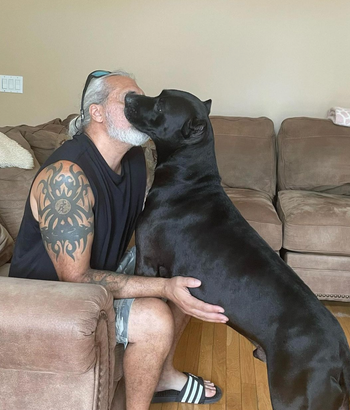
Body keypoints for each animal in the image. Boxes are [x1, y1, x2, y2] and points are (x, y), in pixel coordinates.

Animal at [125, 90, 350, 410]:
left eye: (160, 104)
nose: (129, 95)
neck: (189, 179)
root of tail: (341, 354)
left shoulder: (146, 262)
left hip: (291, 396)